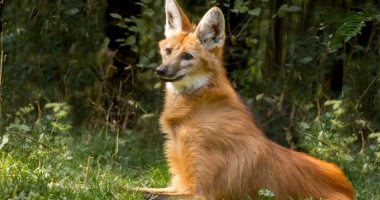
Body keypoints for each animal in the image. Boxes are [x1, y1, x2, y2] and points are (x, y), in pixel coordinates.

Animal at [137, 0, 354, 199]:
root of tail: (348, 188)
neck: (195, 108)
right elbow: (138, 188)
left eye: (187, 56)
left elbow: (141, 192)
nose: (160, 70)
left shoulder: (199, 192)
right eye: (168, 51)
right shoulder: (178, 184)